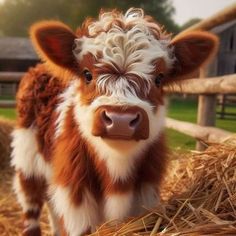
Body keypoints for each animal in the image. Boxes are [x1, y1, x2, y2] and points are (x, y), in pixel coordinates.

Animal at [10, 7, 218, 236]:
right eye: (87, 74)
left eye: (159, 78)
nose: (120, 119)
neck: (116, 179)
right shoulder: (75, 202)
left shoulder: (146, 196)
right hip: (26, 160)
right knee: (32, 206)